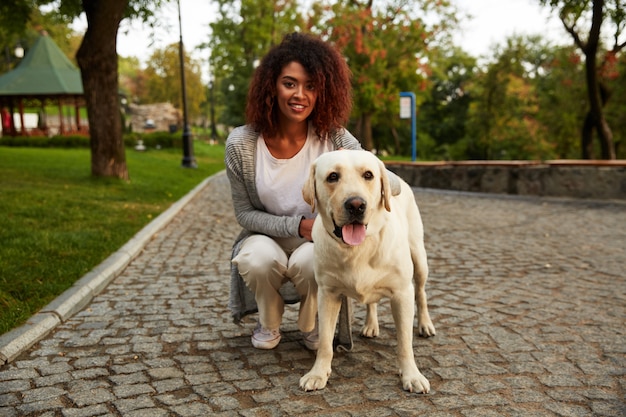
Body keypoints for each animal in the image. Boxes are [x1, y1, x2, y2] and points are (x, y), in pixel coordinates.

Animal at [298, 150, 434, 394]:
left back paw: (425, 324)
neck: (357, 249)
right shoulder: (327, 294)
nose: (356, 204)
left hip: (419, 258)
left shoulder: (402, 293)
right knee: (372, 301)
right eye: (333, 176)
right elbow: (324, 342)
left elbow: (405, 343)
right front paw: (318, 373)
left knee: (421, 292)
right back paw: (371, 325)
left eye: (368, 175)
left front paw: (412, 375)